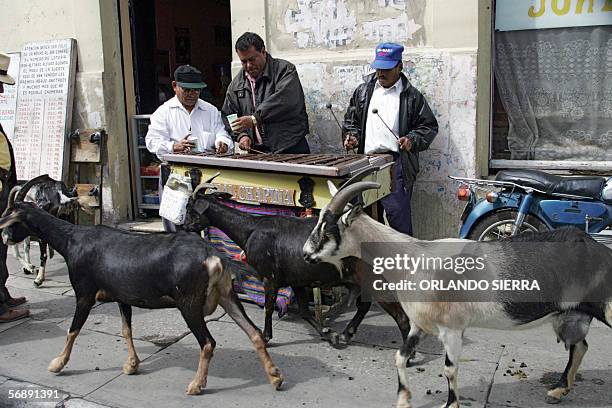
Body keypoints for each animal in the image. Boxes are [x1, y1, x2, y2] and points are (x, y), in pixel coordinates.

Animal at [183, 185, 412, 348]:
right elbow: (304, 312)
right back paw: (347, 333)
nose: (184, 226)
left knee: (400, 317)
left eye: (190, 209)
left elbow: (269, 307)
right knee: (365, 306)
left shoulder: (270, 277)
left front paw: (266, 337)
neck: (251, 230)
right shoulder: (298, 281)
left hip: (375, 281)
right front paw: (328, 335)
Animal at [304, 182, 612, 408]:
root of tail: (599, 249)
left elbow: (450, 369)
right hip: (571, 314)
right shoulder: (420, 325)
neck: (415, 259)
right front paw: (403, 400)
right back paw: (558, 391)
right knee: (580, 347)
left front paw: (451, 404)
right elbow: (400, 357)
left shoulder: (451, 329)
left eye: (327, 228)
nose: (306, 255)